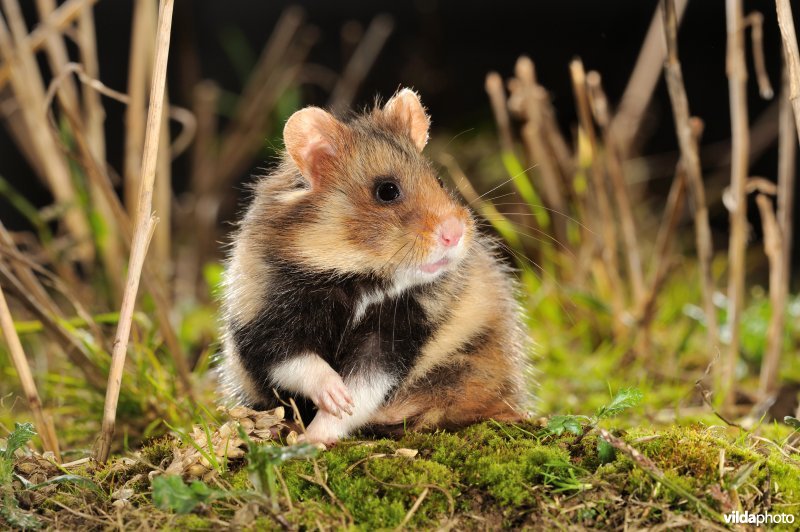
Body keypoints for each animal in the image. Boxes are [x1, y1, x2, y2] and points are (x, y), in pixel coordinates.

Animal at [219, 88, 531, 445]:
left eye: (439, 181)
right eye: (387, 191)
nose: (455, 233)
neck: (358, 275)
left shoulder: (396, 333)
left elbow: (364, 389)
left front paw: (318, 433)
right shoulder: (266, 318)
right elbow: (298, 362)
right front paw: (333, 401)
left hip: (471, 363)